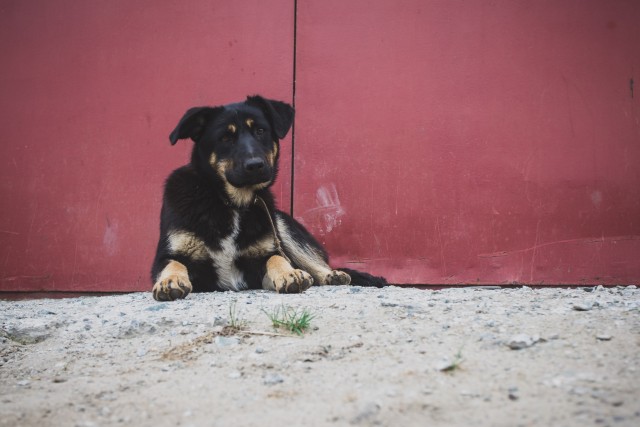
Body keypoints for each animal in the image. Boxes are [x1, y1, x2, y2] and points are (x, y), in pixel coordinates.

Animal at [151, 95, 384, 302]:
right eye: (225, 138)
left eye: (260, 131)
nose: (255, 165)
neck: (232, 202)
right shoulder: (165, 257)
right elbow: (174, 263)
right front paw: (170, 280)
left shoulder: (260, 263)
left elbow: (276, 257)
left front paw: (290, 274)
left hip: (282, 226)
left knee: (317, 264)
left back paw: (330, 275)